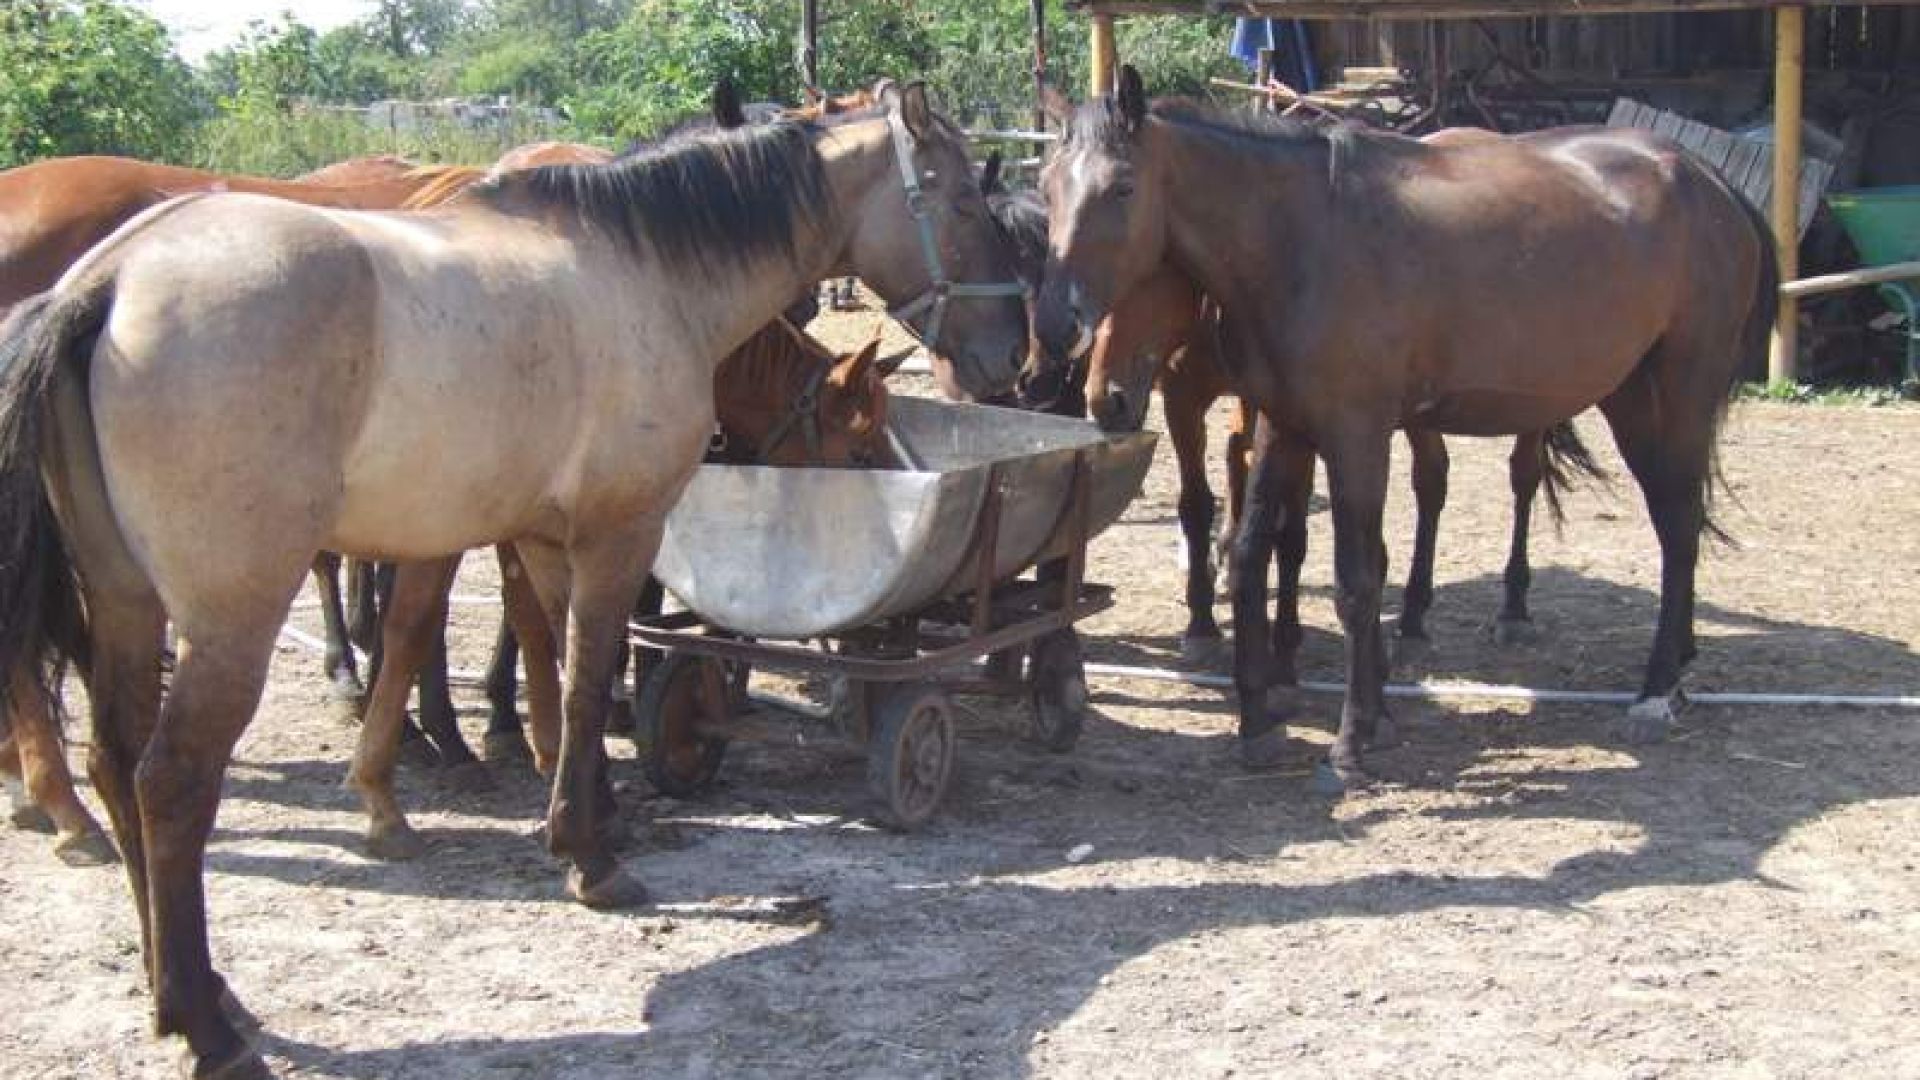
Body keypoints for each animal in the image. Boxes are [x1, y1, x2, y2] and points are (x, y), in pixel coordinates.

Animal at [0, 79, 1036, 1068]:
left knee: (115, 760)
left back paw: (186, 988)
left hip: (127, 604)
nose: (1007, 359)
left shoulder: (541, 539)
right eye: (962, 202)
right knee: (171, 782)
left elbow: (557, 668)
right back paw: (206, 1025)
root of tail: (109, 282)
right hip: (229, 621)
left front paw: (582, 808)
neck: (644, 271)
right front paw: (590, 857)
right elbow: (584, 677)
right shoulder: (620, 535)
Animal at [1036, 71, 1781, 780]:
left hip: (1682, 391)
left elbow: (1357, 580)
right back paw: (1676, 669)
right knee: (1674, 517)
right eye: (1047, 186)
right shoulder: (1284, 427)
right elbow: (1251, 557)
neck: (1302, 240)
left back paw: (1654, 691)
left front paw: (1350, 743)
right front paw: (1259, 723)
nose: (1056, 326)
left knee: (1678, 524)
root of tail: (1707, 179)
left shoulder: (1357, 436)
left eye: (1122, 186)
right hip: (1628, 397)